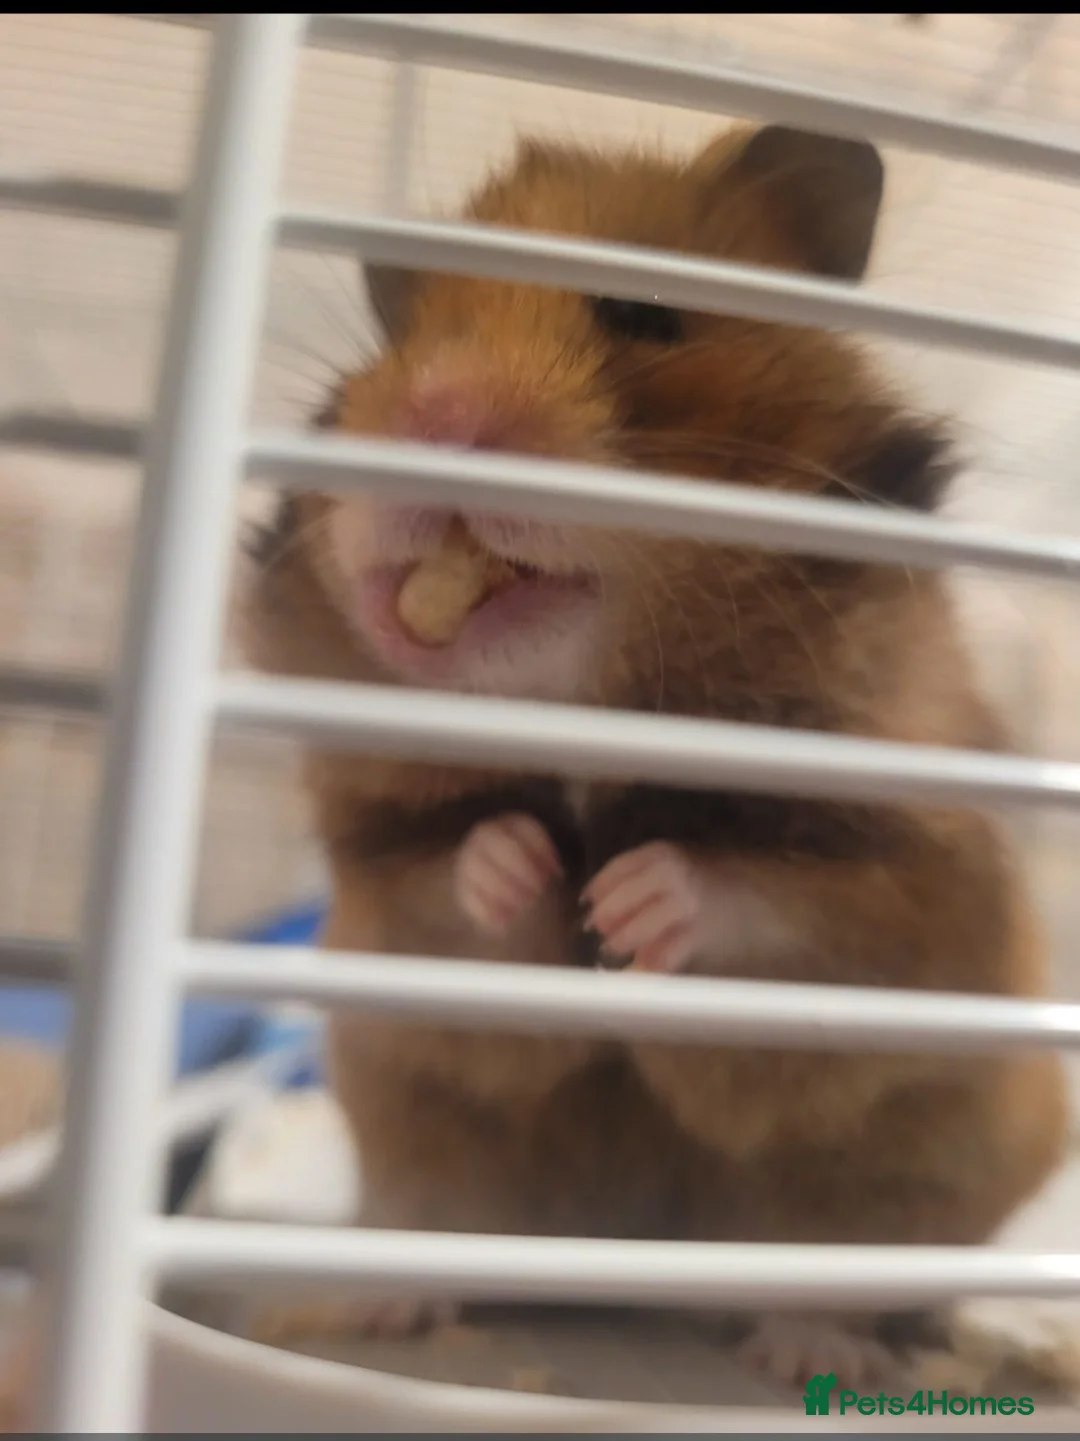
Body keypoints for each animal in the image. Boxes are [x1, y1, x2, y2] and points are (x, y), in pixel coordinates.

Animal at [246, 124, 1068, 1393]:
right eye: (397, 340)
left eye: (641, 313)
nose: (433, 415)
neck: (595, 700)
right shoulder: (380, 871)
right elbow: (455, 877)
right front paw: (528, 868)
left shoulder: (903, 875)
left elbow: (766, 898)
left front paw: (629, 901)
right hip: (423, 1142)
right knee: (437, 1228)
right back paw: (368, 1301)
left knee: (828, 1271)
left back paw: (814, 1346)